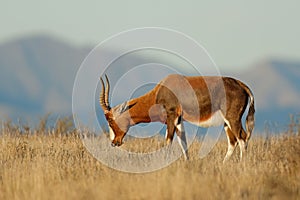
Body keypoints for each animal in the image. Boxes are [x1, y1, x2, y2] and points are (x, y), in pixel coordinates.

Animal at [99, 74, 254, 162]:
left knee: (242, 138)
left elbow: (168, 141)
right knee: (233, 141)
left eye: (110, 120)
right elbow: (183, 142)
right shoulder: (179, 120)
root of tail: (242, 85)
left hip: (232, 119)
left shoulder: (171, 117)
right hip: (227, 123)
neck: (161, 90)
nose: (114, 142)